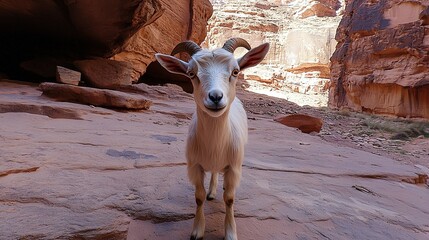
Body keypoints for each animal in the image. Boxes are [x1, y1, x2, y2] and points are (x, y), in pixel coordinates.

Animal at [154, 38, 268, 240]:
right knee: (214, 173)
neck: (215, 146)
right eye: (191, 73)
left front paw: (230, 232)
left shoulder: (234, 167)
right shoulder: (194, 167)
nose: (215, 97)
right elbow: (198, 198)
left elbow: (230, 199)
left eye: (235, 71)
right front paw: (197, 230)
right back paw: (212, 192)